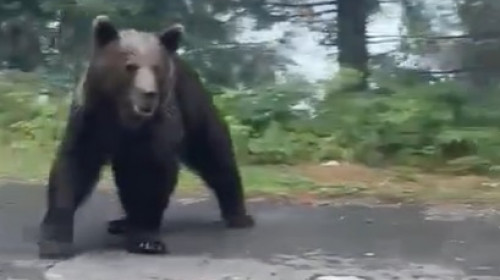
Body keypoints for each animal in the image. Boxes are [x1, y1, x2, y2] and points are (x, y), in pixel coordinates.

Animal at [37, 15, 254, 260]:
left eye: (156, 67)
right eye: (130, 66)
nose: (149, 94)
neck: (124, 117)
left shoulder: (157, 127)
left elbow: (152, 175)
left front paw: (146, 239)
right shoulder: (90, 120)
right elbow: (73, 168)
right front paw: (54, 242)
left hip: (193, 107)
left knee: (214, 155)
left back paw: (238, 215)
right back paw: (121, 222)